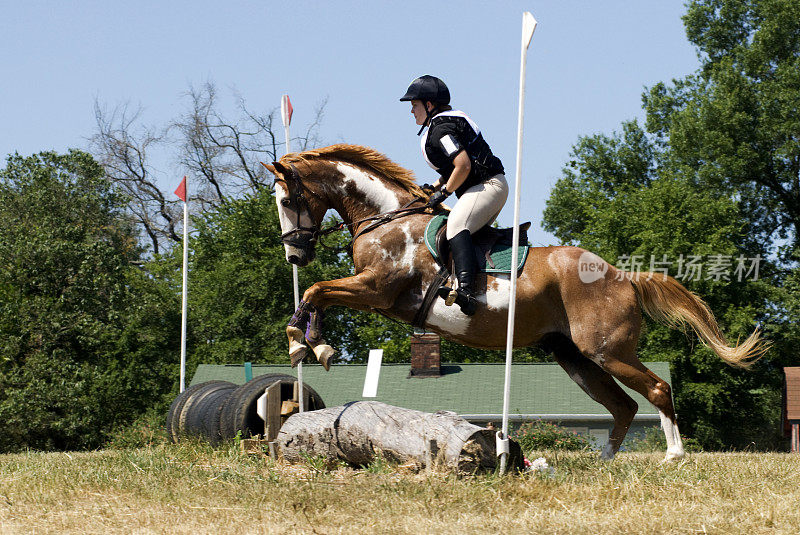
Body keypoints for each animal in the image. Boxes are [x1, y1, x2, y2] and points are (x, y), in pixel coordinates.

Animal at [260, 143, 764, 464]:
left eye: (286, 200)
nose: (294, 255)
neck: (385, 217)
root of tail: (623, 276)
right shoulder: (374, 294)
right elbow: (318, 294)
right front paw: (308, 344)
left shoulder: (377, 289)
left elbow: (316, 290)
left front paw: (306, 344)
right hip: (574, 357)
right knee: (622, 407)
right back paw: (602, 461)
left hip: (607, 350)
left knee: (655, 390)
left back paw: (673, 454)